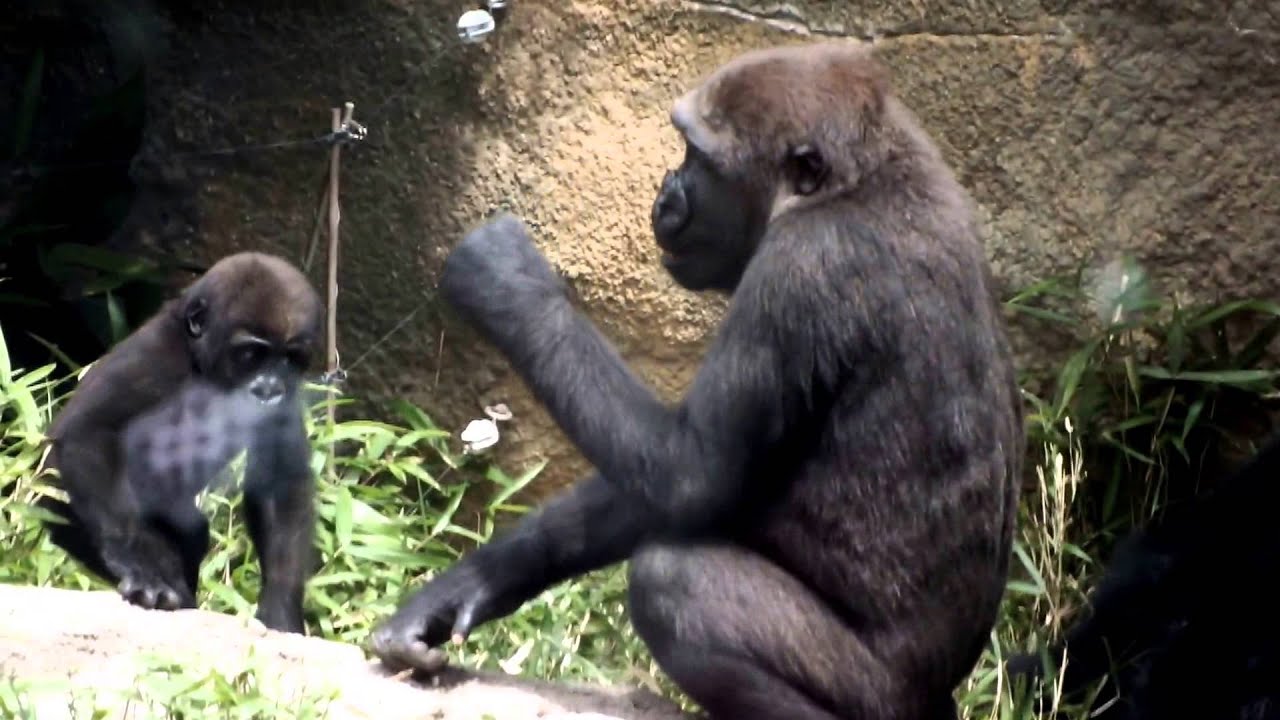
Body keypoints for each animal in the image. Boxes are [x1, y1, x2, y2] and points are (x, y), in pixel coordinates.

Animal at [37, 251, 323, 634]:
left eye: (291, 358)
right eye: (251, 354)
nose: (270, 389)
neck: (199, 359)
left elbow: (281, 480)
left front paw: (282, 608)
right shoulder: (155, 355)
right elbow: (88, 433)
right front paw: (140, 563)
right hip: (55, 505)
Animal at [371, 41, 1024, 720]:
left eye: (699, 159)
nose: (666, 193)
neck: (856, 180)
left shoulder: (802, 270)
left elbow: (690, 474)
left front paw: (506, 280)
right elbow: (651, 490)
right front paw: (472, 583)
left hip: (886, 697)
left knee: (676, 585)